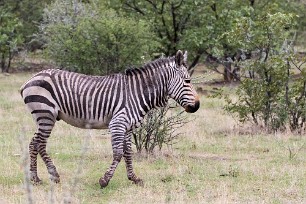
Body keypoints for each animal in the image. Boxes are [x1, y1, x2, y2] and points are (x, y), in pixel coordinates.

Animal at [20, 49, 200, 188]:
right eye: (187, 81)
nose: (197, 105)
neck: (137, 93)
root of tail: (31, 78)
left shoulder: (128, 127)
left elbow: (128, 153)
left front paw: (134, 178)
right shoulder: (118, 123)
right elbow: (118, 153)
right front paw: (104, 180)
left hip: (43, 116)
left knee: (33, 143)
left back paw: (35, 178)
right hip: (46, 114)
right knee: (40, 144)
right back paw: (53, 175)